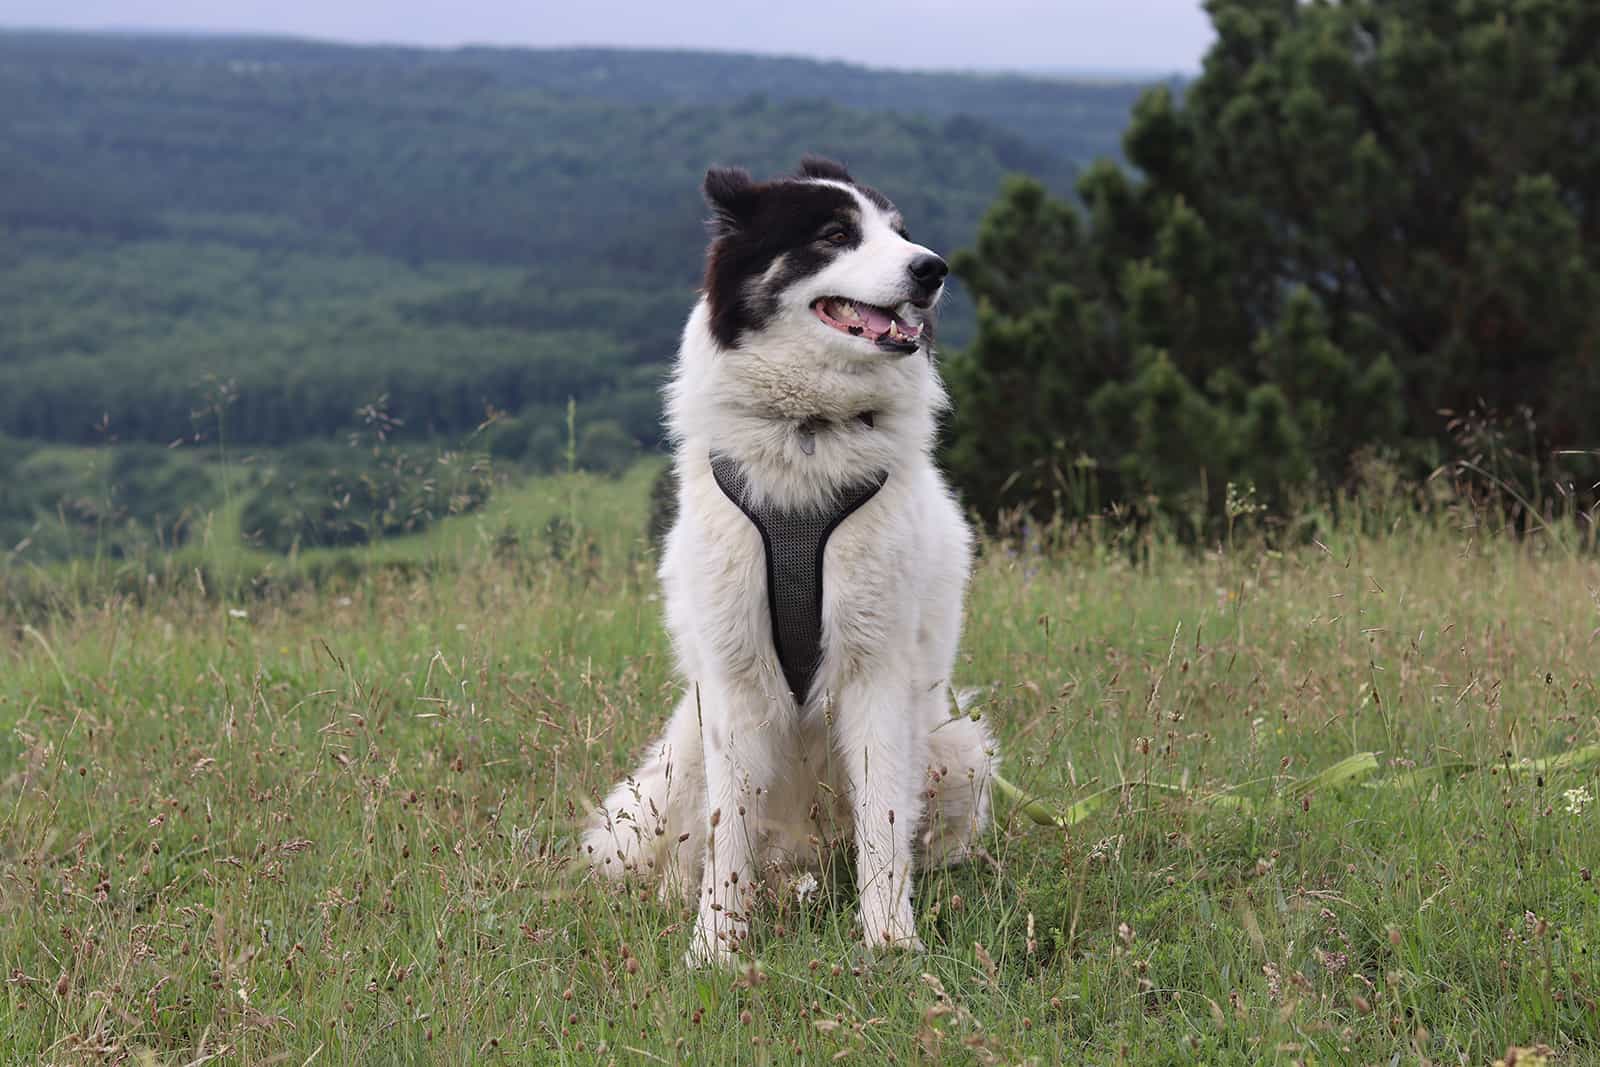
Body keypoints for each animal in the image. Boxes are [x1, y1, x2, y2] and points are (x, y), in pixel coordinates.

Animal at [582, 158, 992, 966]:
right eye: (834, 235)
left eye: (899, 233)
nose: (933, 269)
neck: (808, 431)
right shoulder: (735, 682)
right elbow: (727, 833)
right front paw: (714, 946)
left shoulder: (877, 672)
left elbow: (883, 823)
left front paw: (889, 940)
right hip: (674, 760)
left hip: (958, 746)